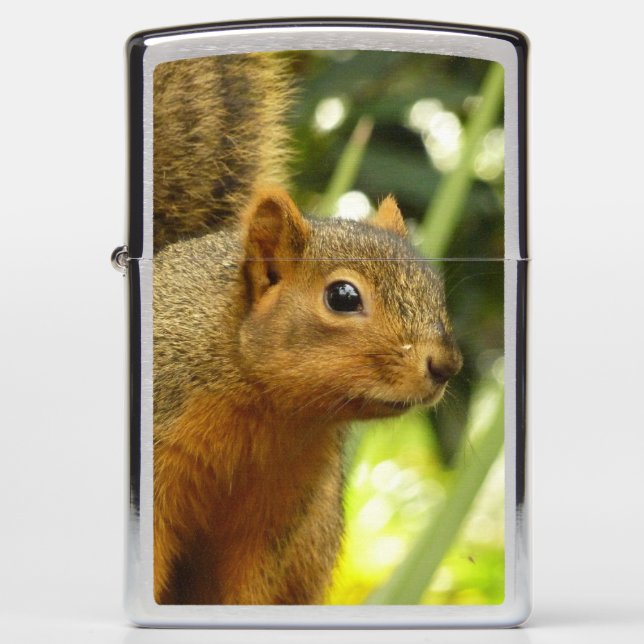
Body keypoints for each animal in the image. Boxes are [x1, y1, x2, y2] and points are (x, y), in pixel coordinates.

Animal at [152, 54, 463, 605]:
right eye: (343, 297)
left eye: (434, 286)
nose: (447, 365)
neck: (267, 415)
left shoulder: (278, 515)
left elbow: (252, 587)